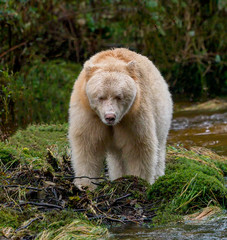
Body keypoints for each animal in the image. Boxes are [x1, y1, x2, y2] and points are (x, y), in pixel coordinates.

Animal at [68, 47, 173, 190]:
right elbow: (88, 143)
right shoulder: (89, 113)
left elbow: (138, 146)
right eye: (101, 97)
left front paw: (138, 180)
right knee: (117, 158)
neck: (111, 61)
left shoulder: (133, 116)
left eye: (119, 96)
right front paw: (85, 184)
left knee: (159, 149)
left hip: (161, 115)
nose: (110, 117)